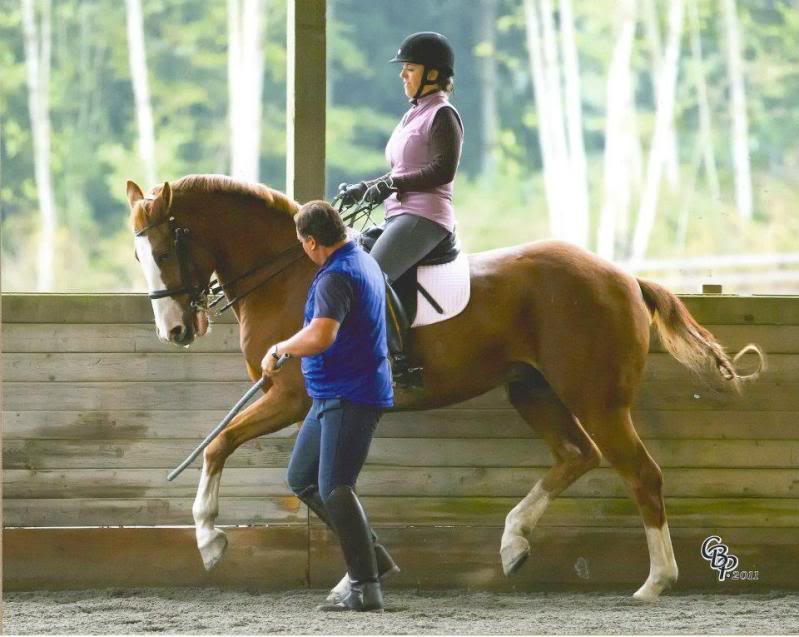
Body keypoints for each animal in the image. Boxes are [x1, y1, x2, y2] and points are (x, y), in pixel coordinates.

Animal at [127, 174, 762, 602]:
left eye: (161, 250)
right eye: (138, 255)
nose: (175, 331)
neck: (291, 273)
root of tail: (625, 277)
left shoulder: (289, 397)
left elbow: (218, 444)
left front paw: (209, 540)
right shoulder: (309, 406)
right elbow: (315, 483)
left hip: (597, 399)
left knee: (641, 474)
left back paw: (655, 582)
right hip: (531, 389)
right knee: (578, 455)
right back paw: (513, 543)